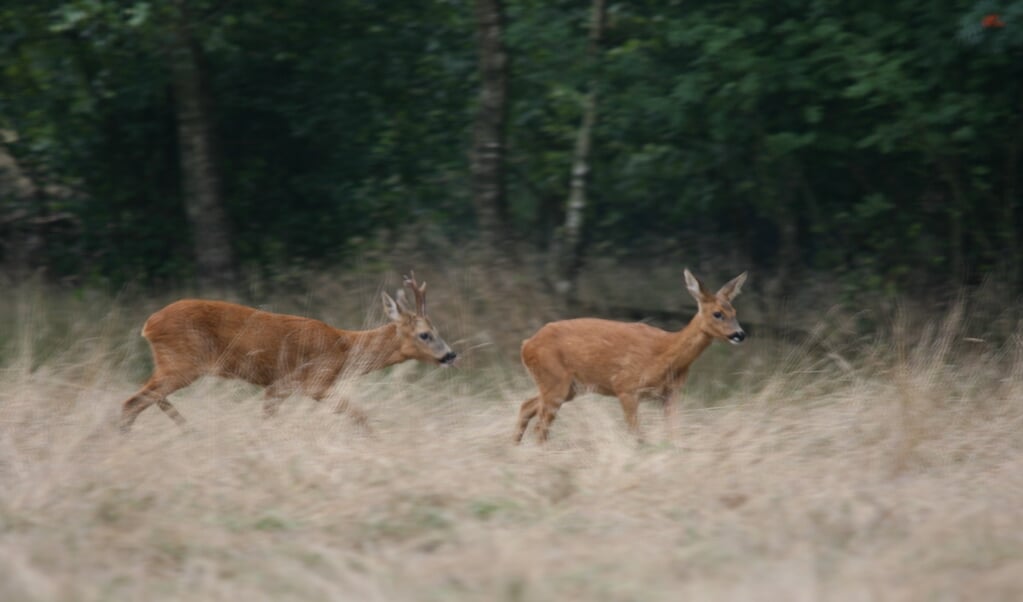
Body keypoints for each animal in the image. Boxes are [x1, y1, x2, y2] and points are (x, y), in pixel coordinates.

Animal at [119, 272, 456, 432]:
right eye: (425, 334)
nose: (450, 355)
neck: (345, 347)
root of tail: (148, 325)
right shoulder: (312, 381)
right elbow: (360, 415)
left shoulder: (280, 386)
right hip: (182, 362)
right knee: (133, 401)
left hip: (171, 364)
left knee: (148, 398)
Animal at [515, 270, 748, 444]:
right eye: (717, 313)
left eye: (735, 312)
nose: (739, 334)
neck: (665, 354)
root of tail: (526, 344)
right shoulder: (625, 386)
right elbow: (637, 435)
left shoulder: (671, 393)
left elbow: (674, 434)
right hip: (554, 379)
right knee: (540, 426)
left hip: (568, 387)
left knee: (527, 406)